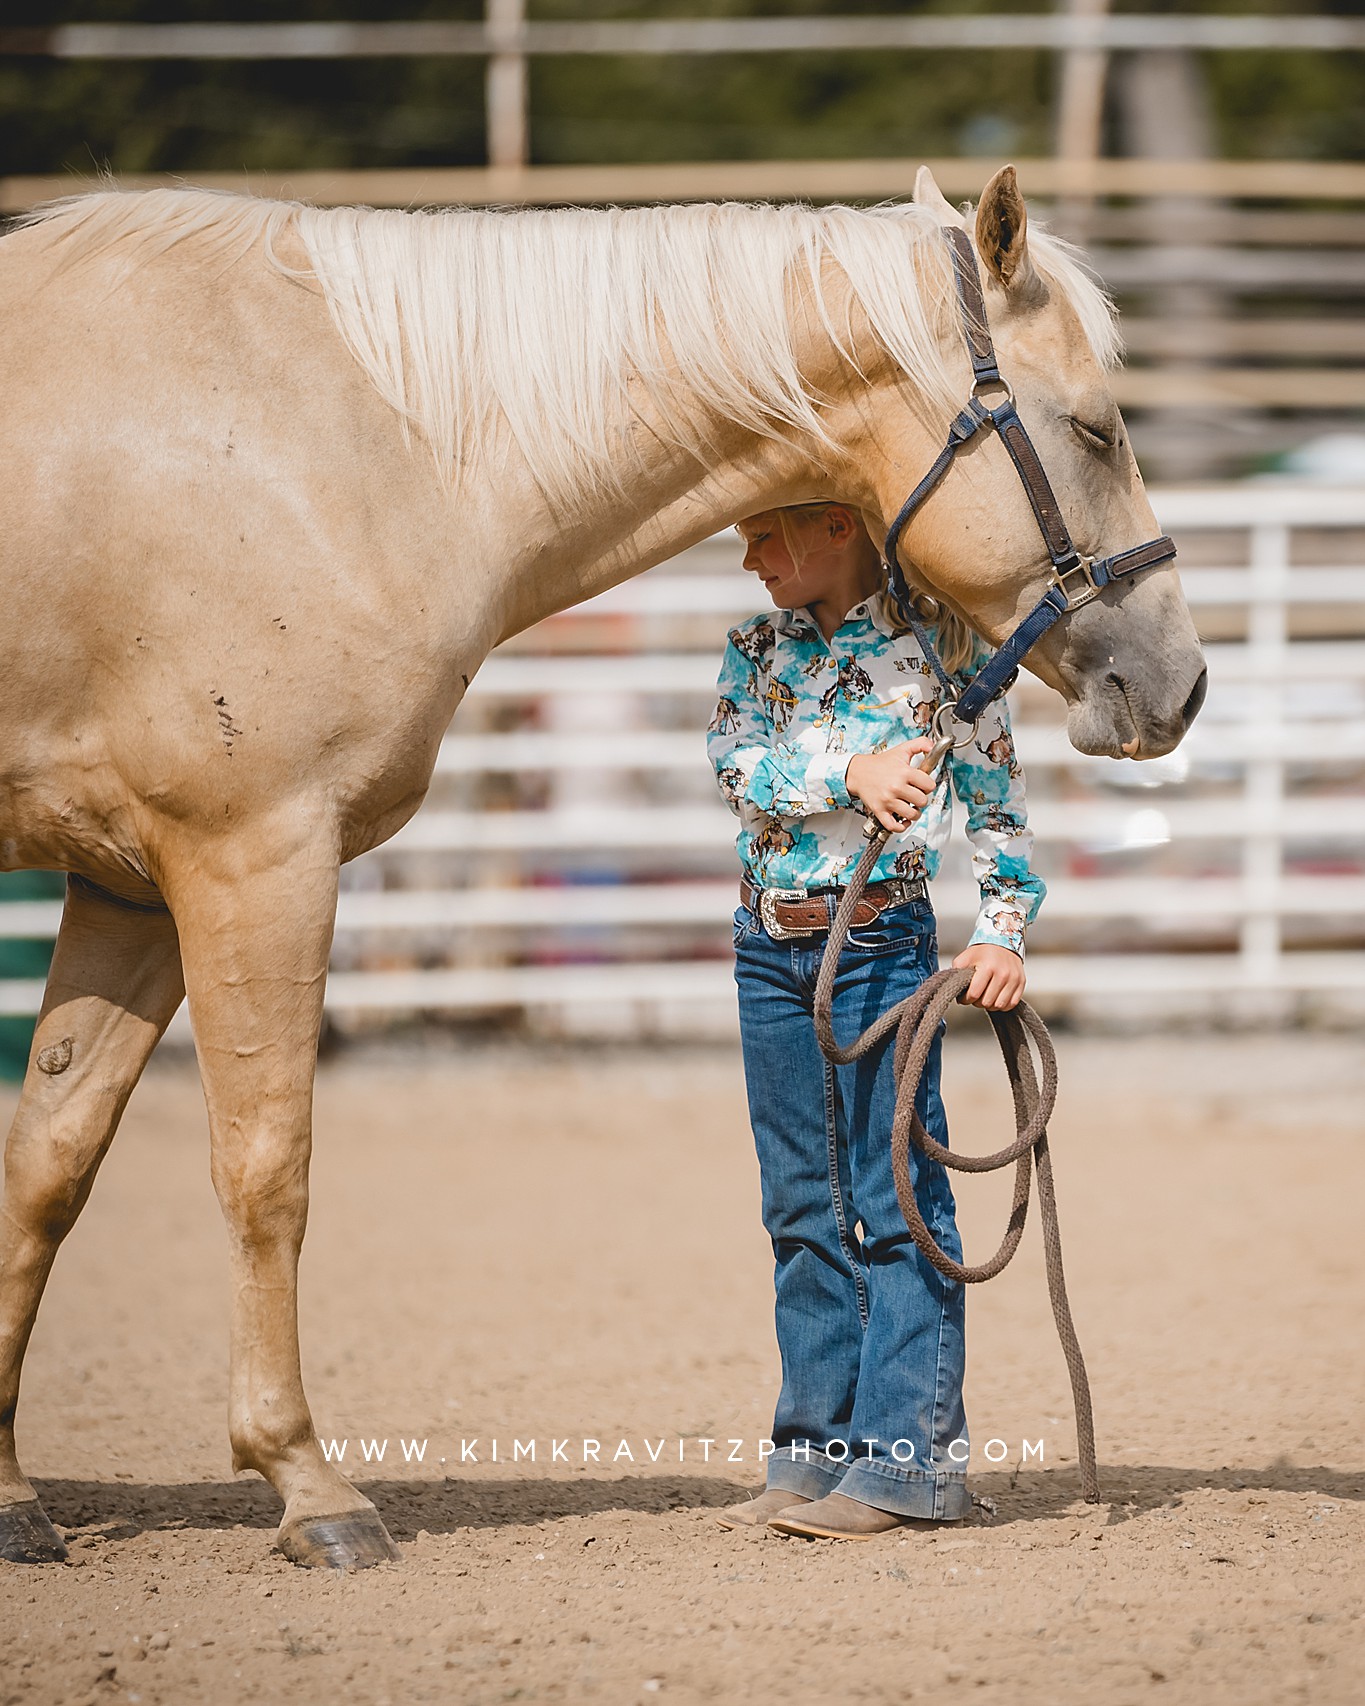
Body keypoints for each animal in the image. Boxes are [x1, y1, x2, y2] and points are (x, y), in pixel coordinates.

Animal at [0, 166, 1194, 1562]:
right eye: (1098, 429)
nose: (1180, 681)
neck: (365, 442)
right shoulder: (253, 855)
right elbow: (266, 1169)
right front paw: (308, 1484)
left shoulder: (131, 882)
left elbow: (49, 1164)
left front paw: (13, 1496)